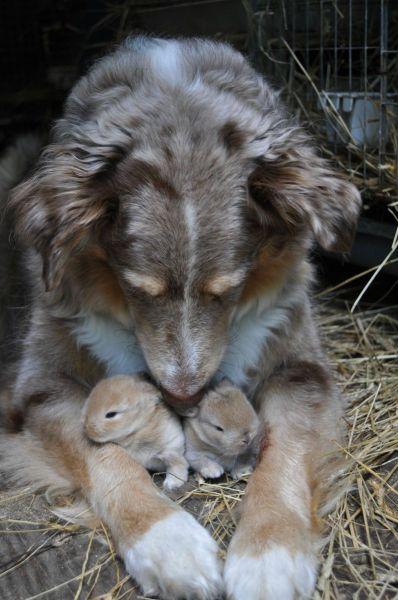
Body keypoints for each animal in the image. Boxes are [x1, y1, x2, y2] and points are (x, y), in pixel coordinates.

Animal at [0, 38, 360, 600]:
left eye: (230, 289)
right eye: (136, 288)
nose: (184, 398)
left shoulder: (300, 368)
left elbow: (285, 451)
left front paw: (269, 557)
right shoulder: (41, 385)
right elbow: (101, 452)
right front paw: (168, 544)